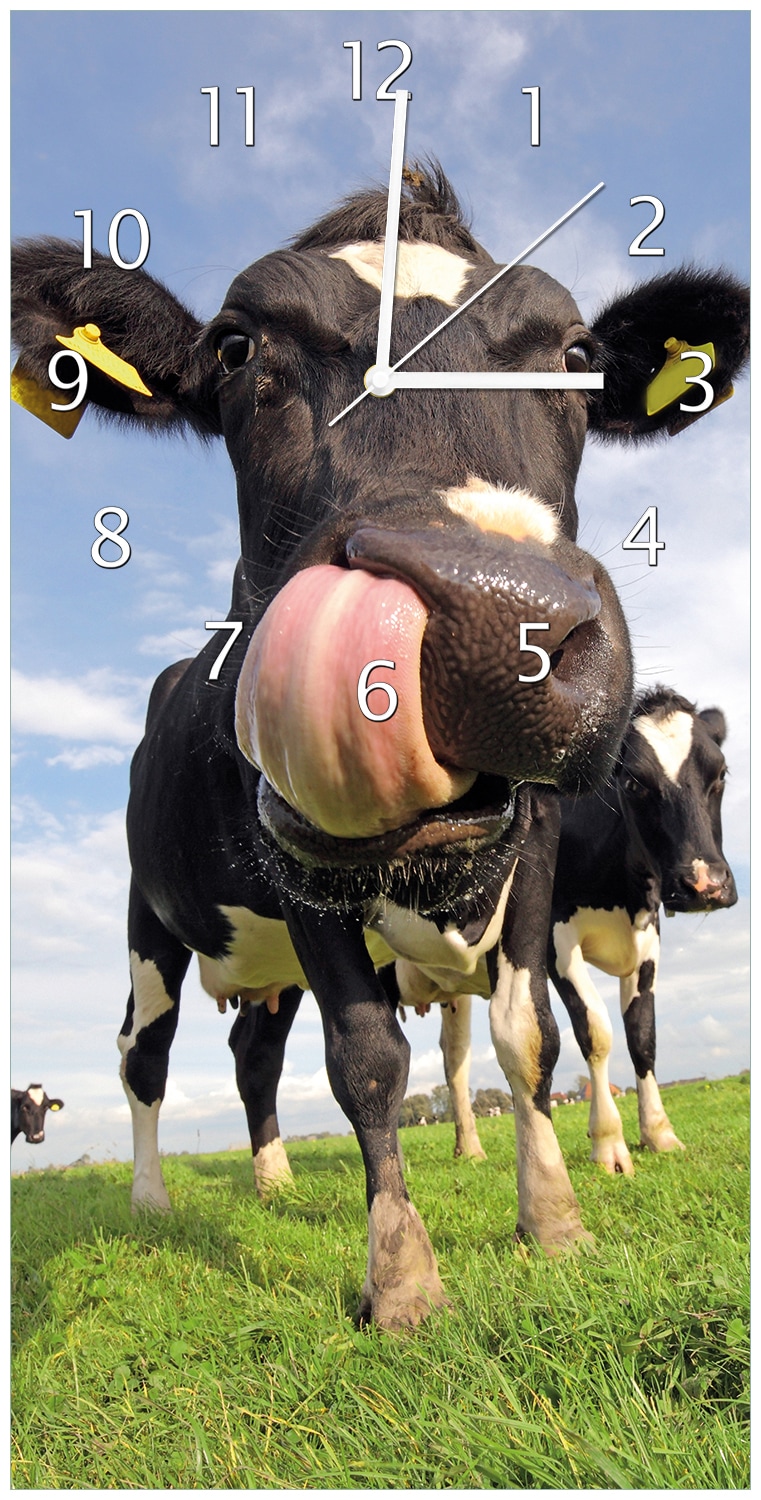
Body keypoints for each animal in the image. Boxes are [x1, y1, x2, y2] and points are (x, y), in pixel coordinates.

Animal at [12, 167, 748, 1328]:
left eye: (573, 354)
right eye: (236, 350)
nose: (498, 617)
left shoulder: (539, 858)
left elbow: (530, 1038)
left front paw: (555, 1222)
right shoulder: (299, 864)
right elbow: (365, 1057)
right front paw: (400, 1279)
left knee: (253, 1053)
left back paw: (270, 1177)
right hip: (148, 920)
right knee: (144, 1054)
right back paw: (150, 1200)